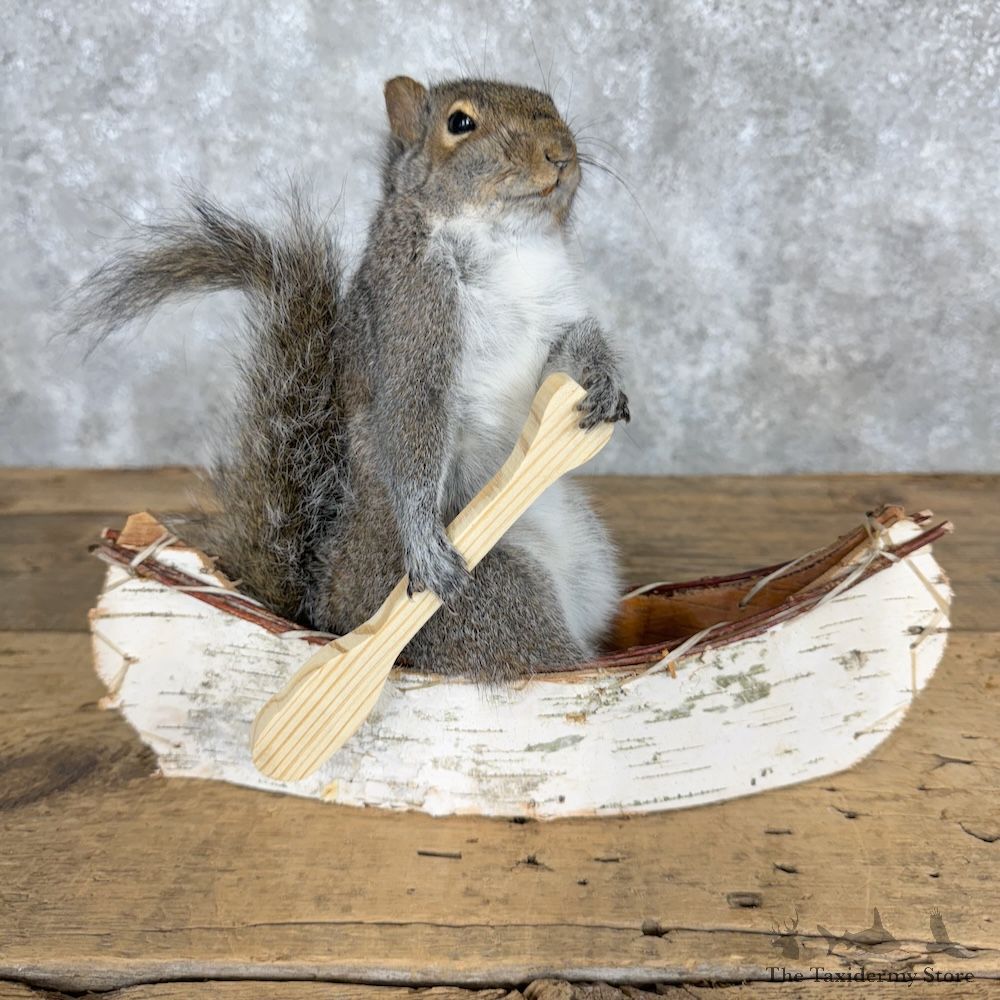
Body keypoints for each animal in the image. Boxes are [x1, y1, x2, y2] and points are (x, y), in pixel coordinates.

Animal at [72, 76, 631, 681]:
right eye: (460, 123)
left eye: (551, 105)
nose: (561, 154)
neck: (508, 241)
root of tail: (326, 611)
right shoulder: (412, 317)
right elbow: (412, 421)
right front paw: (424, 543)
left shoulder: (556, 312)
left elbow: (573, 347)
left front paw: (603, 381)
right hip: (495, 602)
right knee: (542, 658)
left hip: (591, 560)